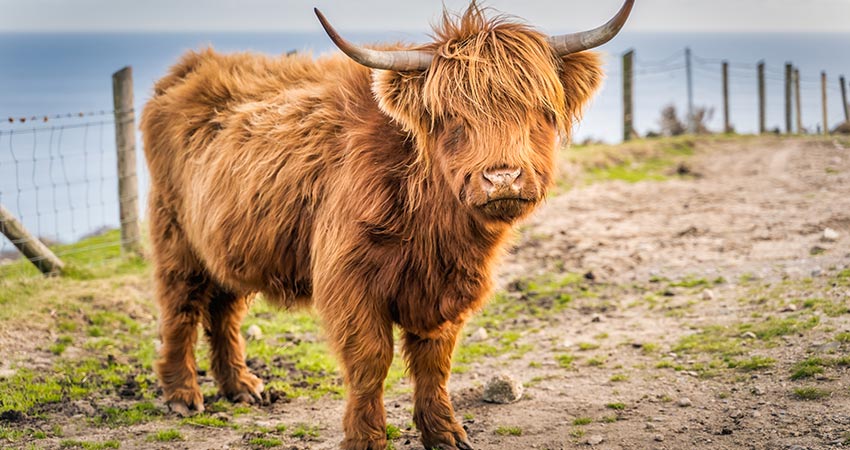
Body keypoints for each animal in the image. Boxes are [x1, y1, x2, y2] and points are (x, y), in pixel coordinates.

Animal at [139, 1, 628, 448]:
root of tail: (192, 67)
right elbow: (370, 361)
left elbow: (434, 363)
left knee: (224, 309)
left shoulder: (444, 290)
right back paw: (182, 394)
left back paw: (240, 386)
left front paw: (445, 434)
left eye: (539, 110)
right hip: (175, 236)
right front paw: (366, 439)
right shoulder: (349, 281)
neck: (432, 226)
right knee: (181, 308)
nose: (502, 177)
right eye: (452, 118)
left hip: (230, 241)